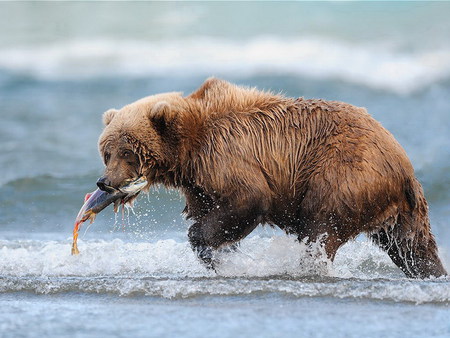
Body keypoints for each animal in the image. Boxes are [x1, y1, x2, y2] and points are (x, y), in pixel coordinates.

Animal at [96, 78, 446, 278]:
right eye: (106, 152)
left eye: (128, 151)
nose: (104, 183)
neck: (188, 149)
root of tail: (402, 163)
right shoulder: (199, 186)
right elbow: (216, 215)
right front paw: (223, 257)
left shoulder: (227, 157)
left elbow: (249, 199)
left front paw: (209, 249)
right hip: (399, 209)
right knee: (413, 246)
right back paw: (433, 273)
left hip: (343, 175)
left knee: (320, 229)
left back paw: (309, 266)